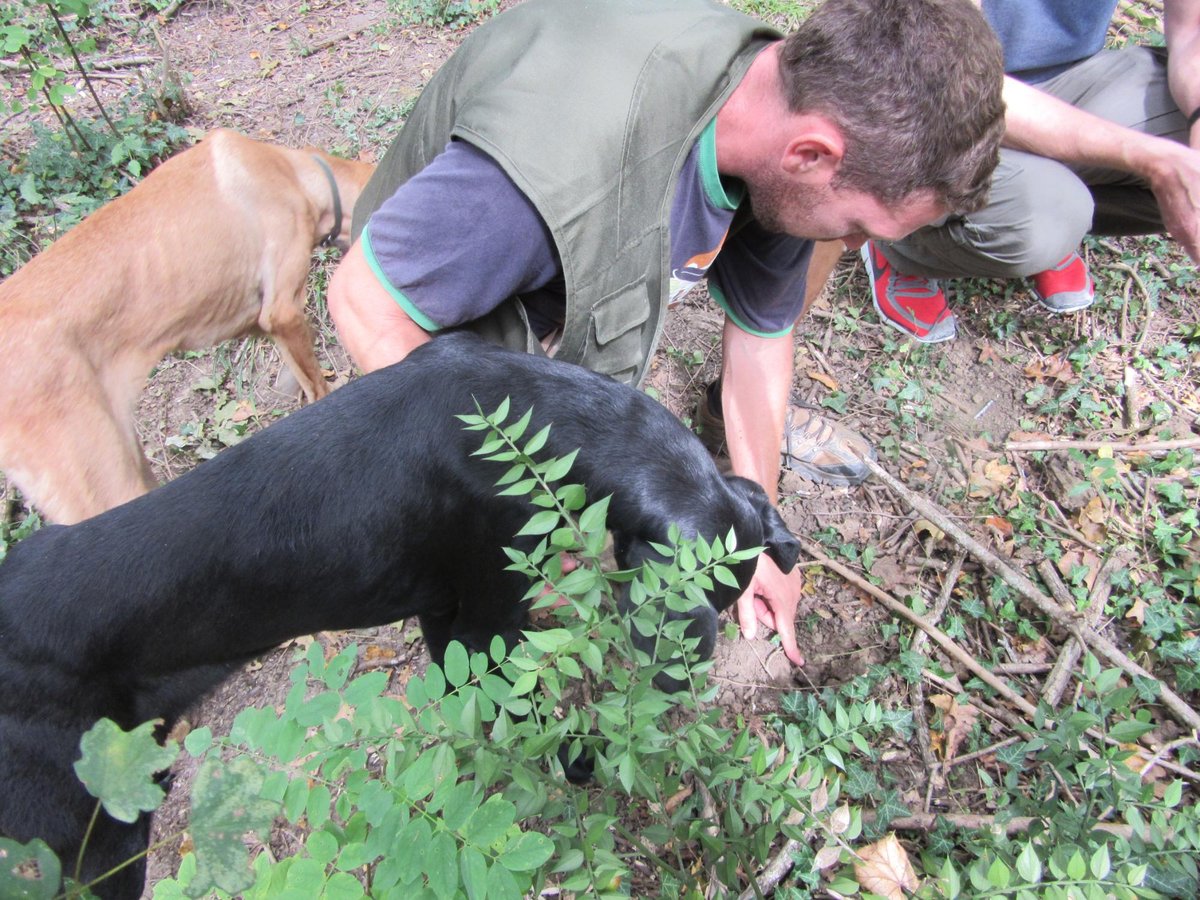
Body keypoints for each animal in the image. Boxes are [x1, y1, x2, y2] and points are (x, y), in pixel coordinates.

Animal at [0, 126, 372, 520]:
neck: (297, 173)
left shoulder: (264, 324)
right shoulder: (283, 313)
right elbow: (317, 386)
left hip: (126, 452)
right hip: (103, 482)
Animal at [2, 336, 806, 897]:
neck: (547, 419)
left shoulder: (448, 619)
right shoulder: (492, 617)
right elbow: (527, 718)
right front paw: (569, 767)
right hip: (85, 854)